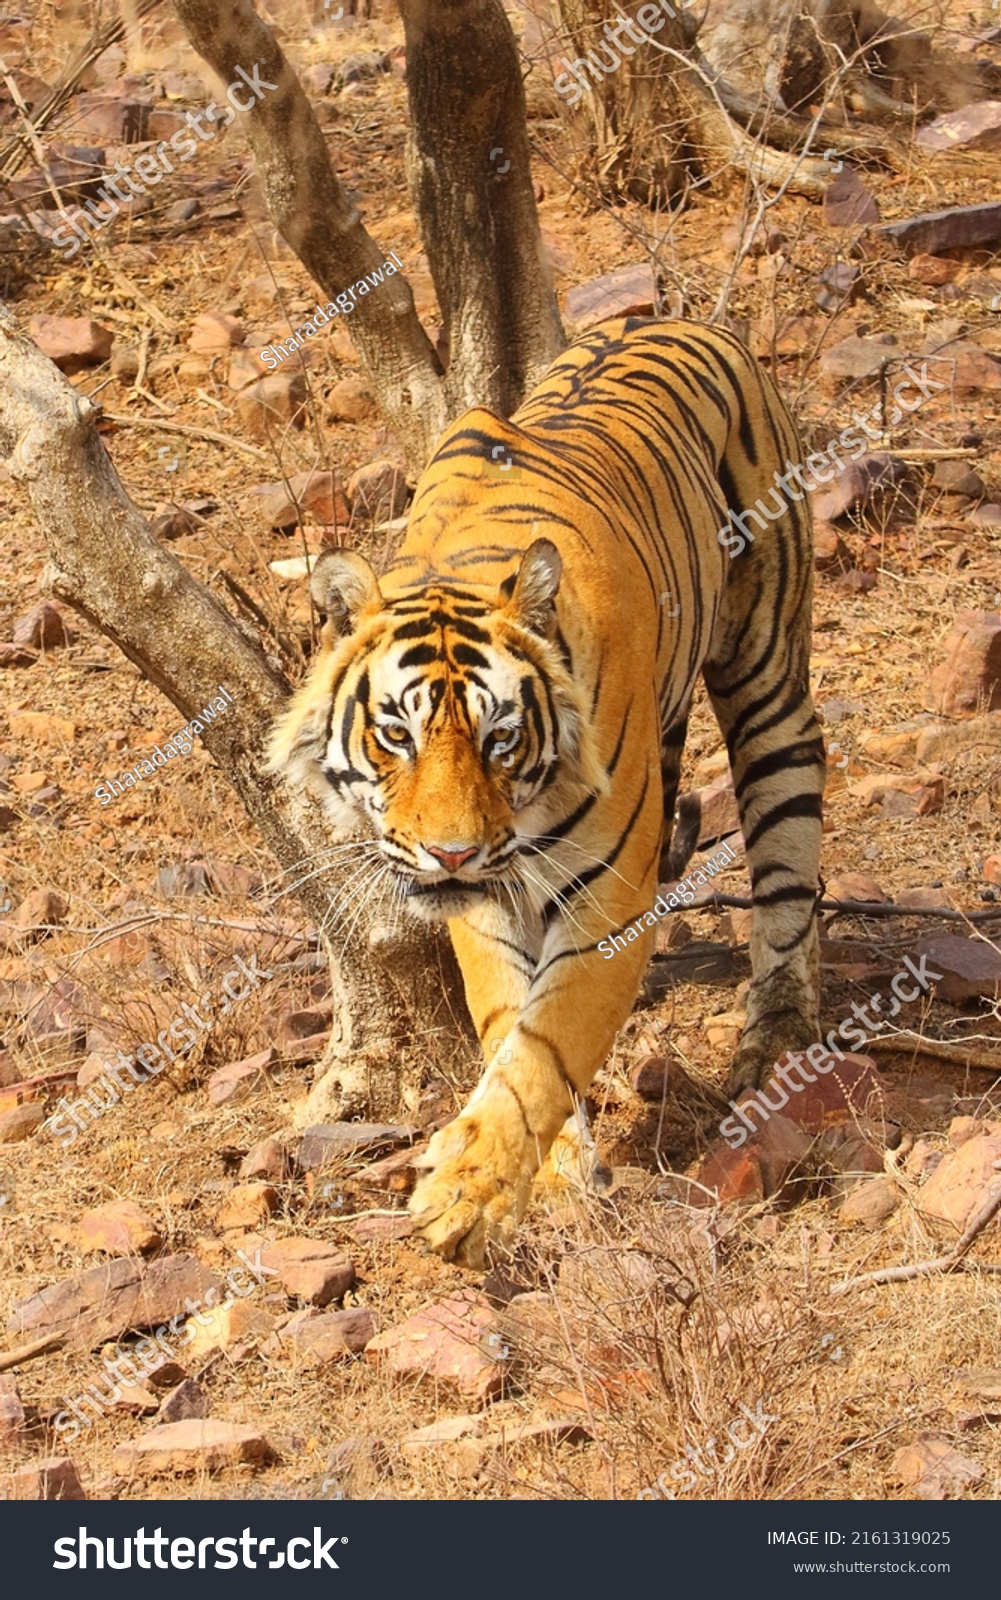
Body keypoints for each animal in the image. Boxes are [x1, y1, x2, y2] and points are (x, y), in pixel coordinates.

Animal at [265, 315, 818, 1260]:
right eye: (396, 735)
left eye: (501, 738)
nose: (450, 854)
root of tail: (675, 316)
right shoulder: (488, 902)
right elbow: (509, 1023)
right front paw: (555, 1172)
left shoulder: (607, 899)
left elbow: (546, 1044)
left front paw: (468, 1192)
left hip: (766, 671)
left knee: (788, 825)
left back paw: (777, 1040)